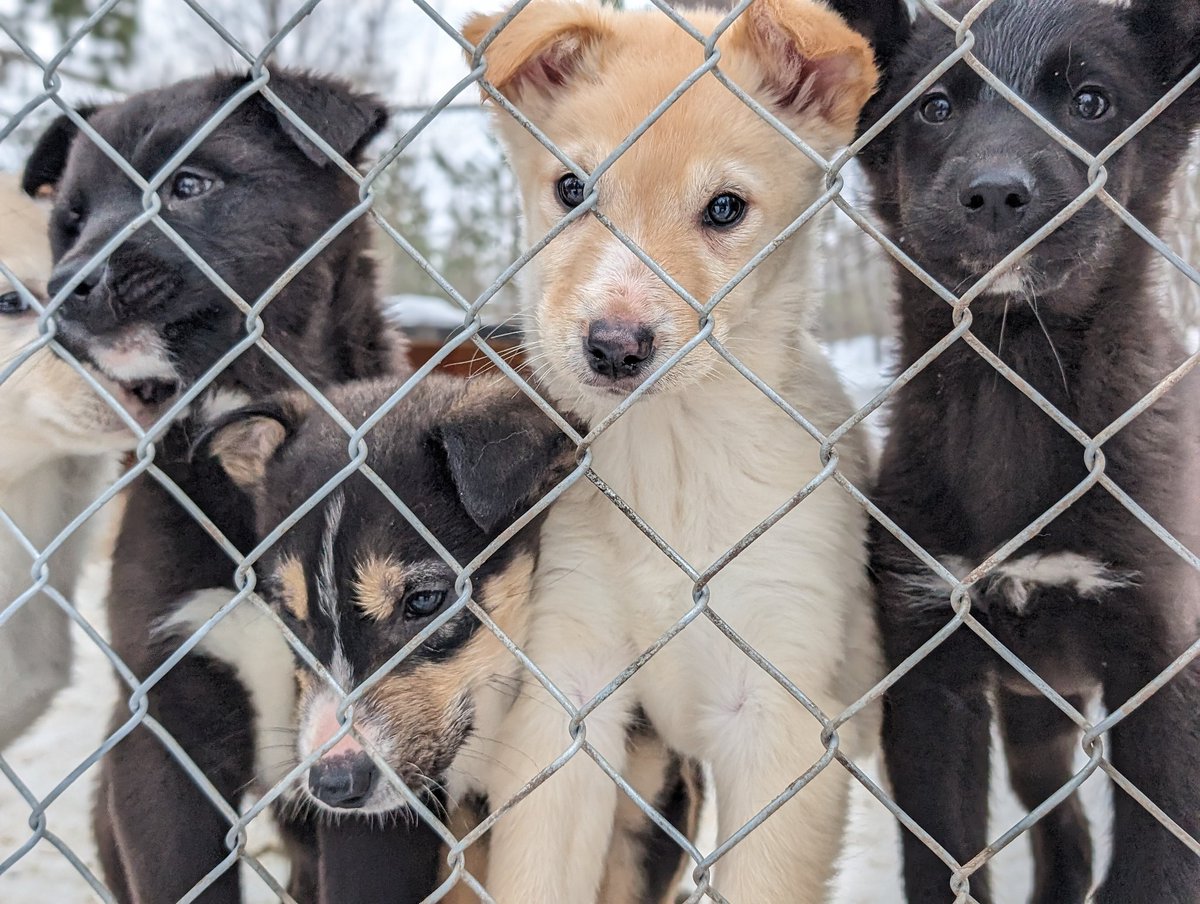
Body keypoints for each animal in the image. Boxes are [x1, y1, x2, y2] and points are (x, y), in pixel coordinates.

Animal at [463, 3, 888, 897]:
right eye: (572, 190)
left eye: (725, 209)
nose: (614, 347)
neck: (675, 455)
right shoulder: (568, 692)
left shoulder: (783, 717)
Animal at [830, 1, 1200, 902]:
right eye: (934, 106)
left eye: (1092, 101)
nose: (996, 194)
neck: (1017, 374)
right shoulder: (930, 667)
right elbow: (941, 859)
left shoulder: (1163, 658)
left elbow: (1157, 867)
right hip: (1035, 713)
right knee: (1063, 831)